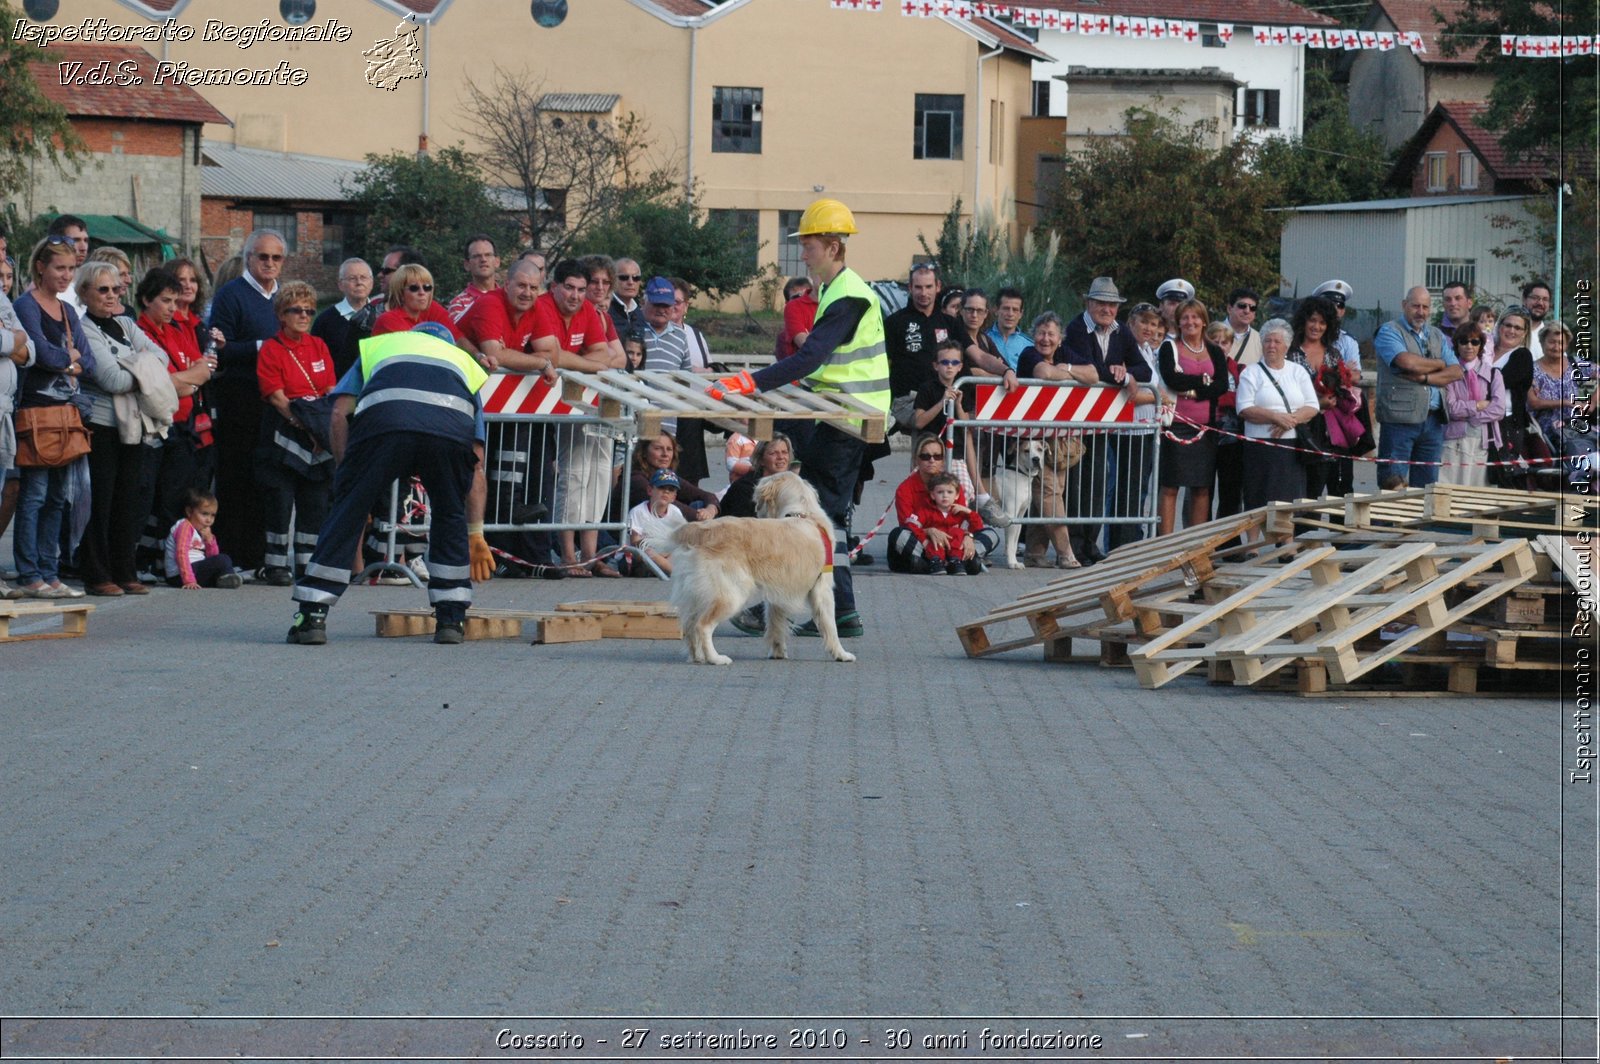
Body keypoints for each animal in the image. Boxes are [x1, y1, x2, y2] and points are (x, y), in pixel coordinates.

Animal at [662, 470, 864, 665]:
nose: (756, 509)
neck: (803, 514)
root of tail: (699, 530)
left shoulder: (780, 593)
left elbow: (776, 625)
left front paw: (778, 653)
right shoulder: (822, 590)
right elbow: (831, 627)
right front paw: (841, 654)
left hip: (696, 594)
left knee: (690, 626)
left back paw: (698, 657)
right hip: (731, 594)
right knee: (702, 626)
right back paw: (715, 658)